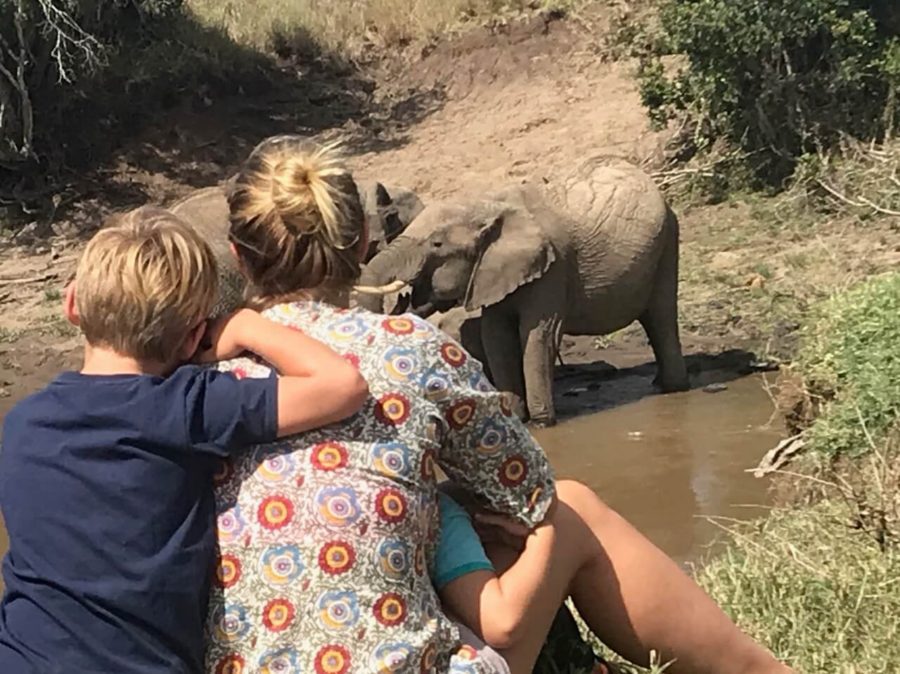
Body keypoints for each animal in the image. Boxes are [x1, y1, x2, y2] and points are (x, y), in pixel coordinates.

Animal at [356, 155, 688, 422]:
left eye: (437, 244)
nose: (405, 298)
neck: (486, 205)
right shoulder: (493, 273)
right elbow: (496, 335)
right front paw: (515, 415)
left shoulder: (553, 268)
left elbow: (537, 334)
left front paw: (542, 423)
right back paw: (661, 385)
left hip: (668, 238)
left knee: (660, 316)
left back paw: (671, 389)